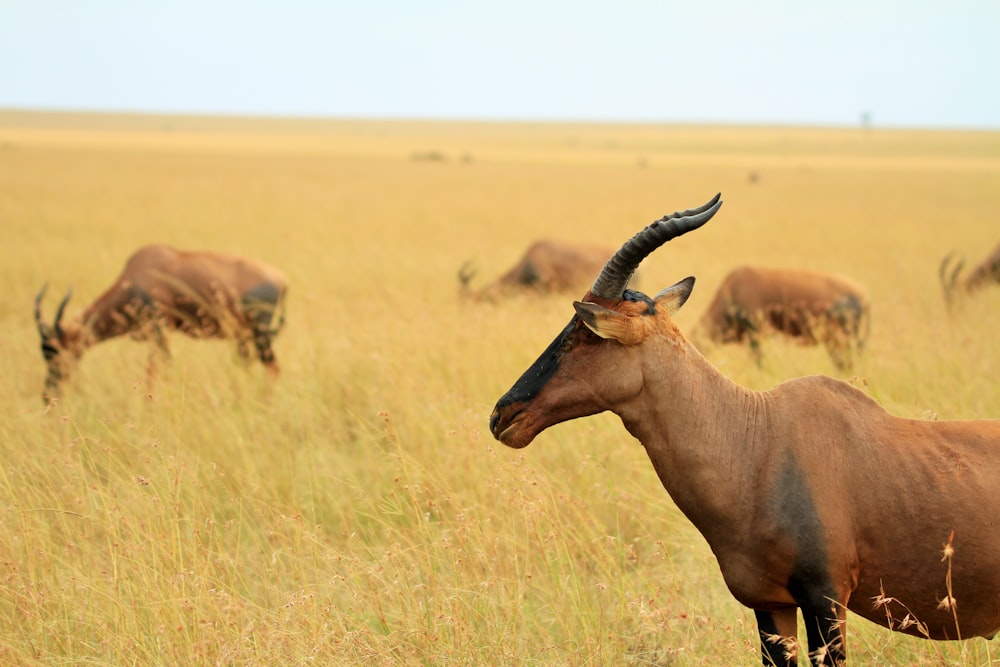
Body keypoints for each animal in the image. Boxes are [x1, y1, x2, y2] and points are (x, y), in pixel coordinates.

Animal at [35, 244, 286, 402]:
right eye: (45, 354)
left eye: (56, 352)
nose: (47, 396)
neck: (137, 274)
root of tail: (282, 281)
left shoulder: (160, 329)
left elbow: (156, 370)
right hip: (244, 336)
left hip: (261, 335)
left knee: (273, 367)